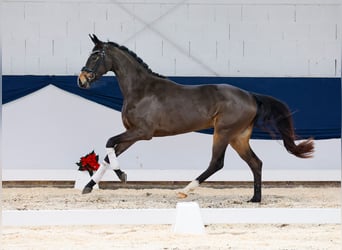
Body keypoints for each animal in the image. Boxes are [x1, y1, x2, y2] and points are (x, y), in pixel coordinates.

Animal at [79, 34, 314, 202]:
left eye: (96, 55)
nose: (82, 80)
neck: (141, 90)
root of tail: (250, 95)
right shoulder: (132, 134)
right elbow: (109, 155)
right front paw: (89, 186)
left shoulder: (142, 133)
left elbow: (109, 143)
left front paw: (121, 175)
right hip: (238, 137)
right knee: (256, 163)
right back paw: (255, 199)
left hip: (223, 133)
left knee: (217, 163)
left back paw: (185, 190)